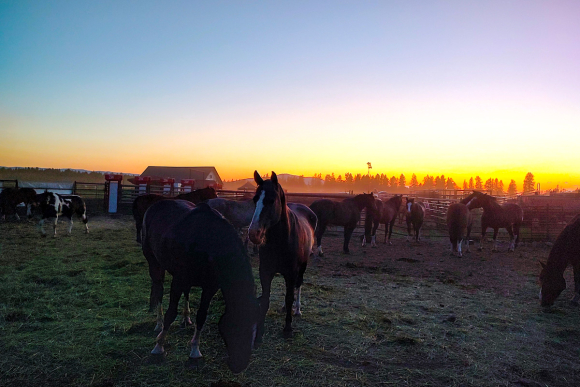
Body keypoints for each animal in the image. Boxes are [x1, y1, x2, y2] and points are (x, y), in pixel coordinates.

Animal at [142, 200, 260, 372]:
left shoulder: (210, 287)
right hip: (155, 263)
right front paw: (159, 347)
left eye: (254, 328)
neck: (207, 243)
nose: (239, 366)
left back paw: (186, 318)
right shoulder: (178, 281)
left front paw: (195, 351)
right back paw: (159, 323)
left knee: (186, 293)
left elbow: (201, 316)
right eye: (234, 325)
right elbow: (171, 313)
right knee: (158, 289)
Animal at [247, 171, 314, 342]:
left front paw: (288, 328)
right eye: (255, 199)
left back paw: (297, 309)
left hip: (302, 266)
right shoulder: (265, 272)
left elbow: (290, 296)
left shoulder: (291, 273)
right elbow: (265, 299)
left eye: (271, 200)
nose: (253, 233)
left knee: (298, 285)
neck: (281, 240)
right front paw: (259, 333)